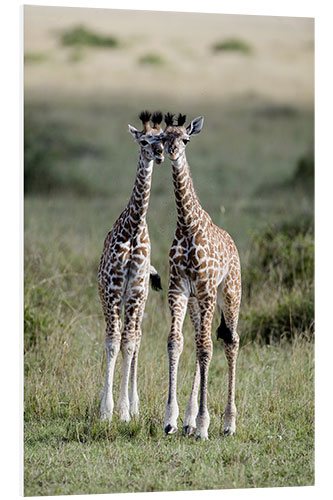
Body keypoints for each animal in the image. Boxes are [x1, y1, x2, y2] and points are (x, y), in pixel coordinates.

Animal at [159, 112, 241, 438]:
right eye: (163, 137)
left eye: (185, 139)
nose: (172, 152)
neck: (187, 225)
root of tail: (233, 244)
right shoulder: (178, 289)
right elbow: (175, 342)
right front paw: (171, 418)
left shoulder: (206, 290)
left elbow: (207, 349)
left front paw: (205, 425)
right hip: (196, 302)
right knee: (197, 341)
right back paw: (188, 421)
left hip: (230, 293)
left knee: (231, 341)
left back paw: (228, 423)